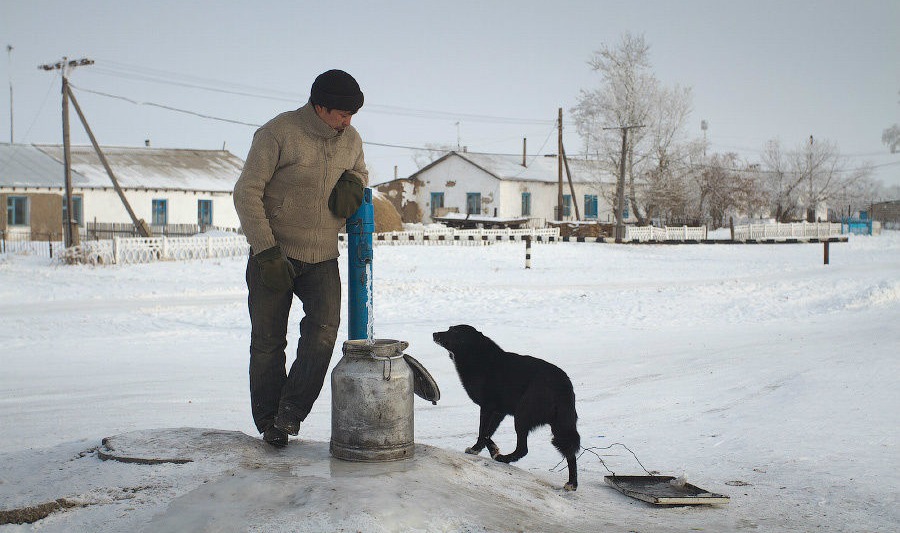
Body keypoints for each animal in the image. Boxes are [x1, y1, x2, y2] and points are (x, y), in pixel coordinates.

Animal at [432, 322, 580, 488]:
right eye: (449, 328)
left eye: (455, 332)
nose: (434, 334)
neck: (476, 354)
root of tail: (563, 385)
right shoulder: (498, 412)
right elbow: (487, 432)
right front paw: (489, 449)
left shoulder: (487, 407)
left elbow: (482, 431)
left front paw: (479, 449)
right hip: (560, 425)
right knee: (569, 451)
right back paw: (572, 483)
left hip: (522, 415)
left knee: (523, 449)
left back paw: (504, 458)